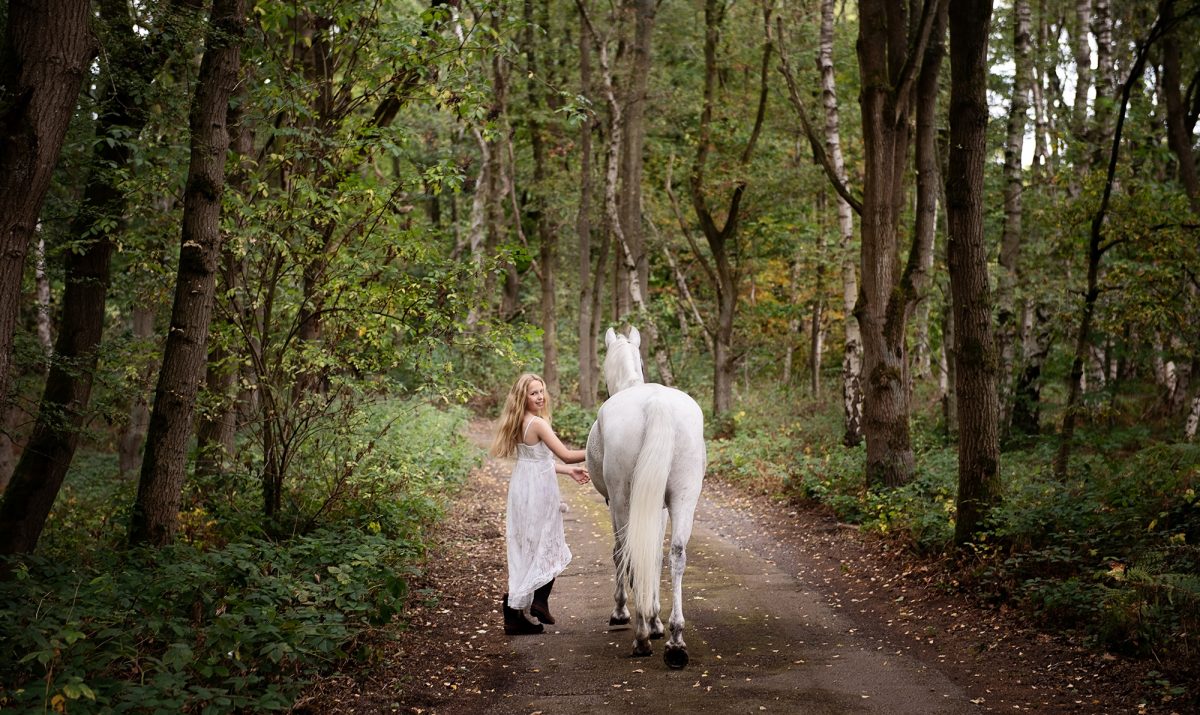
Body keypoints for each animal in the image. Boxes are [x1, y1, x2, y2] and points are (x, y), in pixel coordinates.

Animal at [586, 326, 706, 668]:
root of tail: (656, 403)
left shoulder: (615, 504)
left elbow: (622, 554)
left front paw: (626, 614)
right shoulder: (661, 507)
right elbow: (655, 555)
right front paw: (656, 621)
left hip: (623, 500)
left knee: (629, 551)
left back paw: (640, 637)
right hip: (683, 497)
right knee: (676, 554)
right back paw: (676, 643)